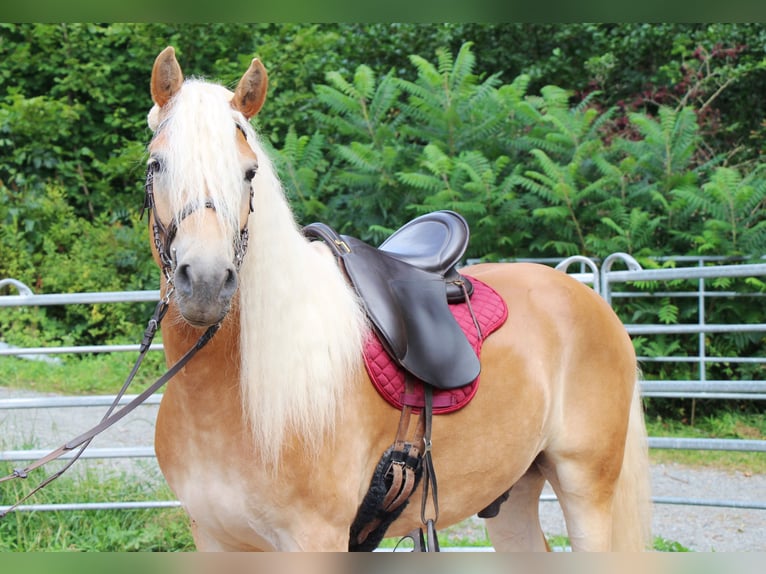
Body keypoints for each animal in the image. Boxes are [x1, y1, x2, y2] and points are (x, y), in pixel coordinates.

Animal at [146, 48, 656, 552]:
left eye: (249, 173)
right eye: (156, 165)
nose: (207, 280)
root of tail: (592, 301)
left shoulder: (316, 537)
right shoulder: (213, 538)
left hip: (586, 490)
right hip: (512, 491)